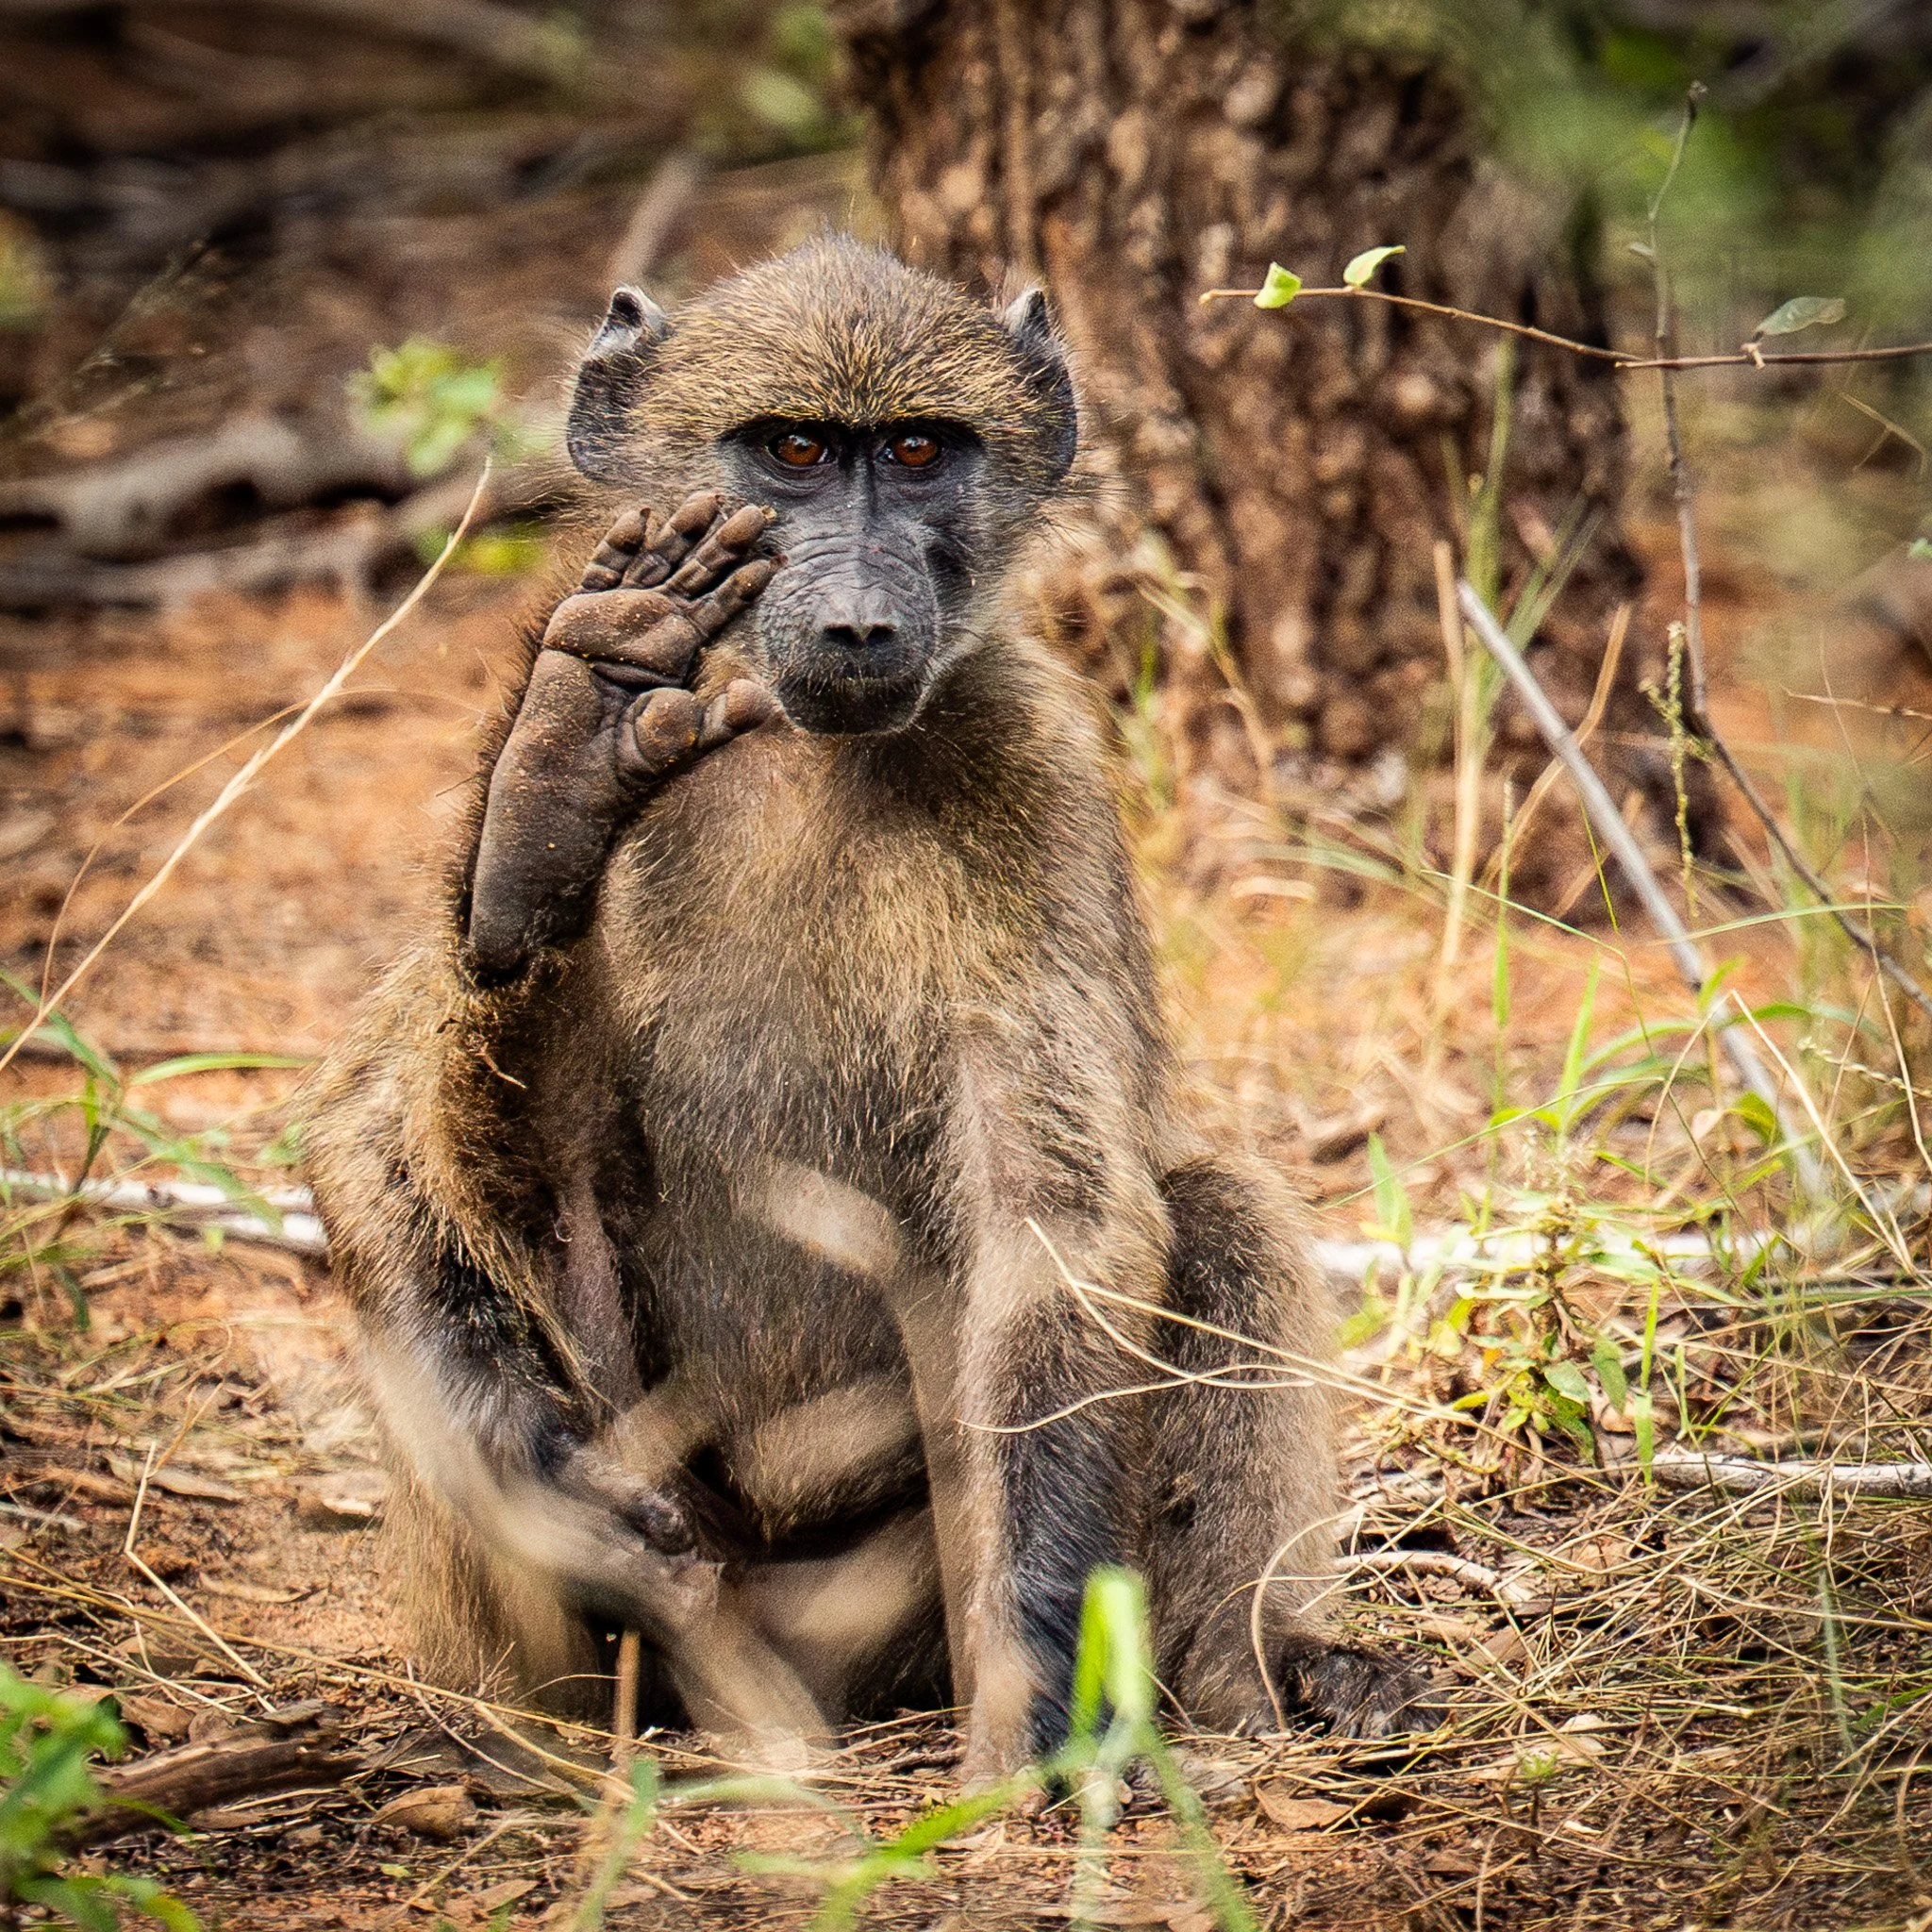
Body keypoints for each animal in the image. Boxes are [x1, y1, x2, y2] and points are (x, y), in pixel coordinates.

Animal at [304, 235, 1426, 1780]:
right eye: (789, 450)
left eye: (914, 451)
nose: (857, 621)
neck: (794, 745)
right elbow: (358, 1135)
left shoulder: (1037, 770)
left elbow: (1050, 1215)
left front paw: (1036, 1708)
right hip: (636, 1629)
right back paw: (548, 813)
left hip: (887, 1610)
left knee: (1220, 1212)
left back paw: (1274, 1669)